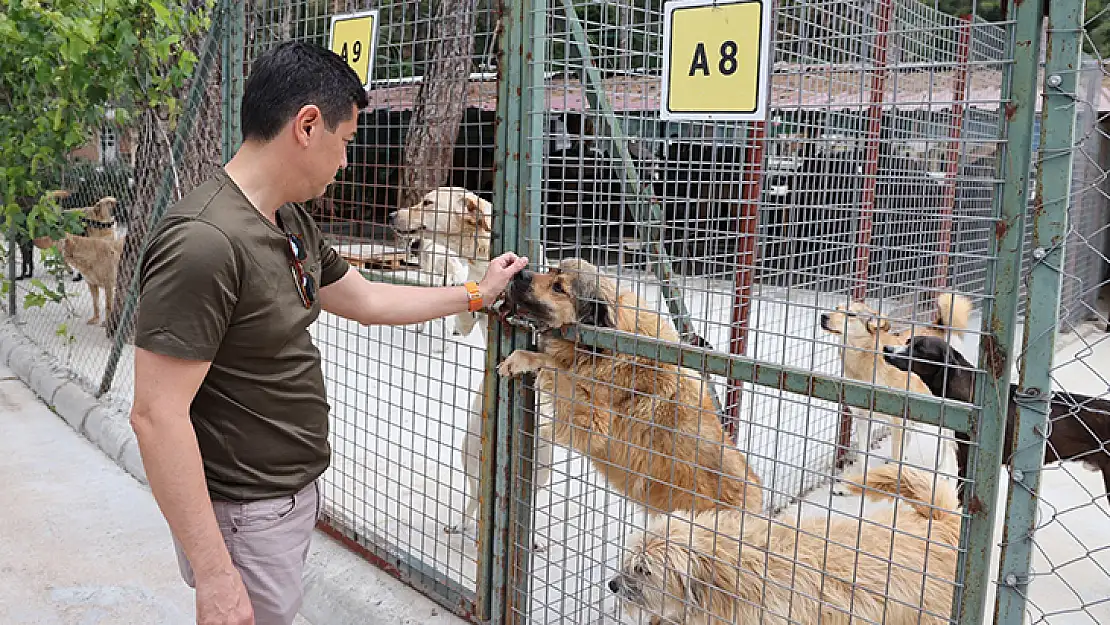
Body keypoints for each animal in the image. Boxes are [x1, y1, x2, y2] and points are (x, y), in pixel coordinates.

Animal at [497, 259, 763, 519]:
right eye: (551, 270)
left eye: (558, 288)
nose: (519, 274)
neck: (602, 348)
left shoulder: (592, 421)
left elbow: (555, 367)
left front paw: (523, 359)